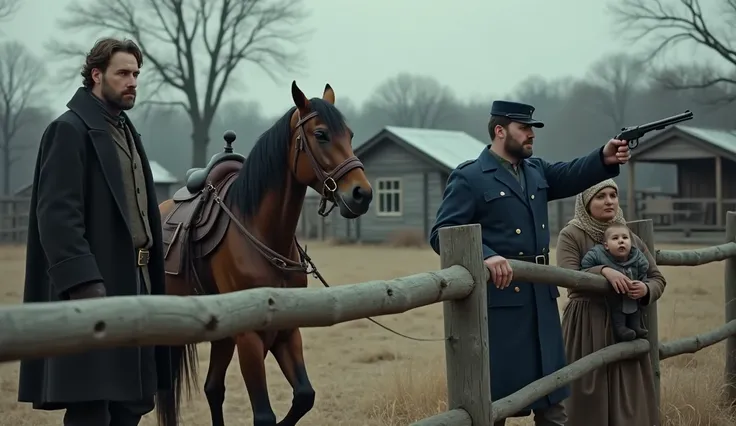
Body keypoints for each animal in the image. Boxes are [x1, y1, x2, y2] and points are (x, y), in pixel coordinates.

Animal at [156, 80, 374, 426]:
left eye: (350, 135)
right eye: (321, 134)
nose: (362, 194)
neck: (261, 234)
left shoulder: (287, 331)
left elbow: (305, 396)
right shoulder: (249, 337)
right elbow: (264, 416)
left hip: (222, 337)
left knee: (213, 388)